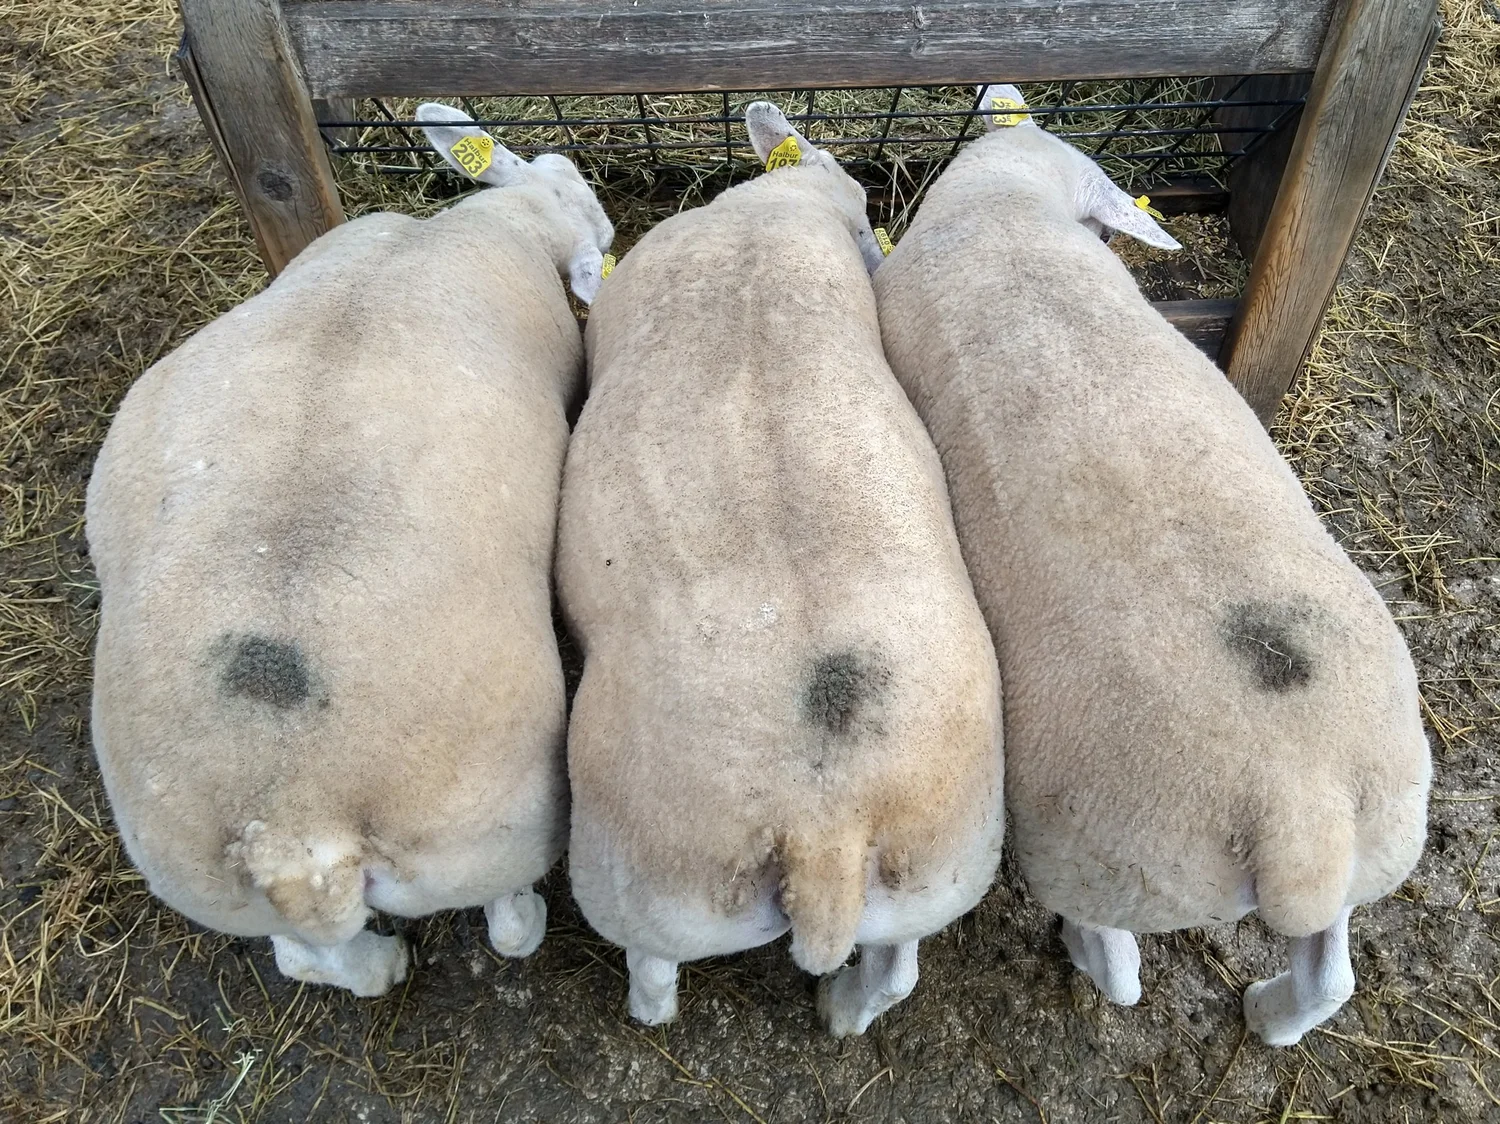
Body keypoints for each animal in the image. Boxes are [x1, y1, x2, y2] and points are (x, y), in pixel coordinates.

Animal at [83, 105, 612, 996]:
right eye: (580, 191)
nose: (607, 226)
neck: (500, 220)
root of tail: (296, 828)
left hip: (201, 879)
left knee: (308, 957)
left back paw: (379, 964)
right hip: (496, 829)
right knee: (506, 924)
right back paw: (521, 919)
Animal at [555, 101, 1004, 1036]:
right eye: (865, 202)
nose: (878, 252)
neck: (777, 210)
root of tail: (823, 828)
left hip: (648, 883)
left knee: (653, 974)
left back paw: (647, 1011)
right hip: (942, 865)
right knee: (896, 973)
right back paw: (843, 1009)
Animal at [871, 84, 1431, 1046]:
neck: (1012, 204)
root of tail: (1300, 813)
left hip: (1102, 853)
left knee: (1119, 965)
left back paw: (1085, 950)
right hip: (1369, 841)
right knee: (1329, 977)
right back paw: (1270, 1013)